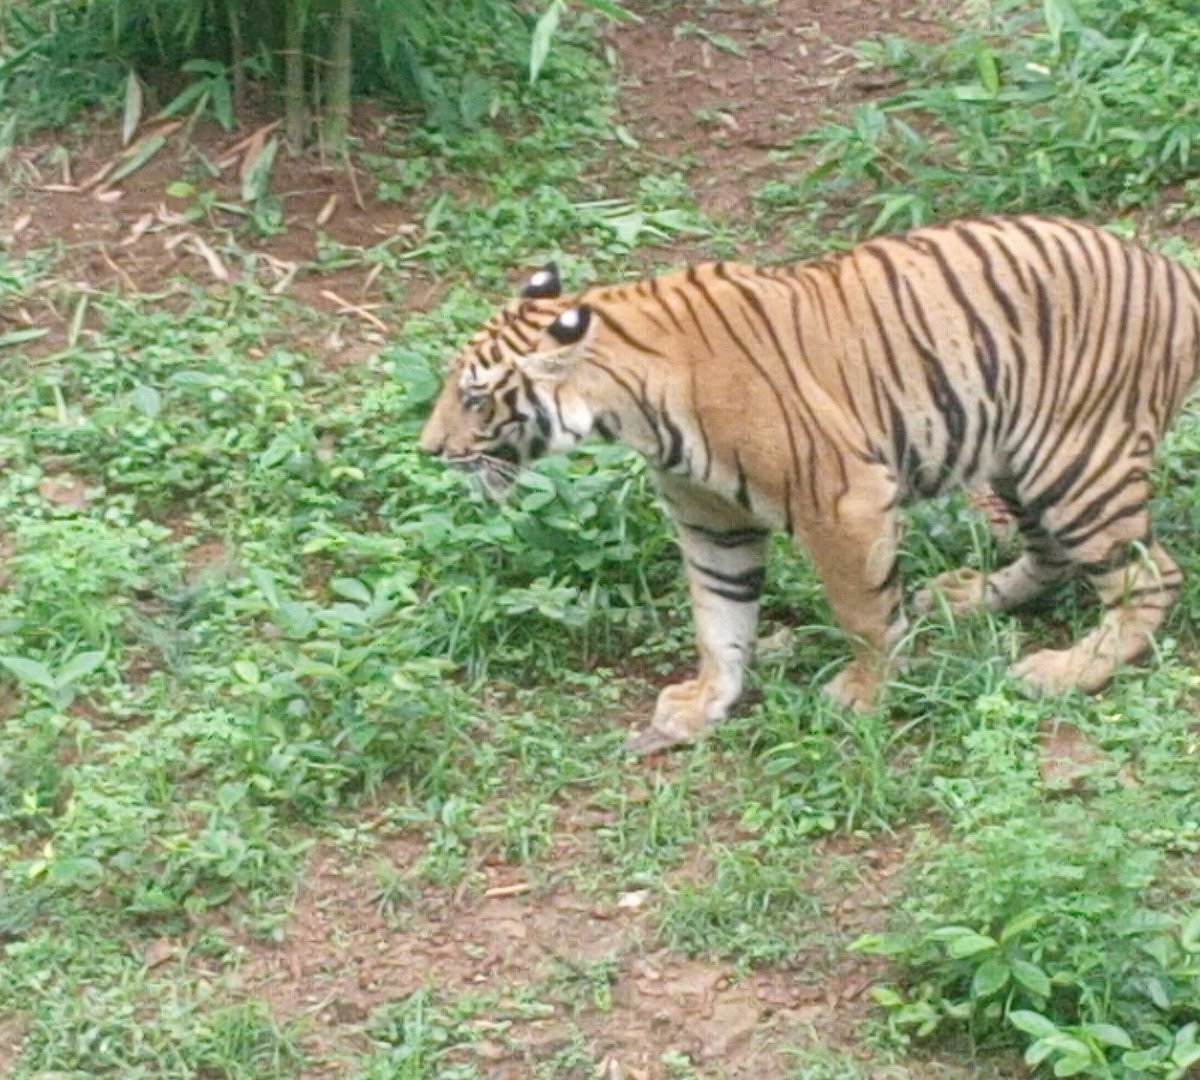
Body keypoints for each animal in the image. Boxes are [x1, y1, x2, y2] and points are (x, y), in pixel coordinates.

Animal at [420, 214, 1200, 753]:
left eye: (476, 397)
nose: (430, 449)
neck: (627, 404)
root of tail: (1170, 270)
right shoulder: (711, 520)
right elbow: (720, 618)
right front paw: (705, 702)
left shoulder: (844, 501)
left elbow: (863, 615)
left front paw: (864, 695)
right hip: (1020, 457)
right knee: (1052, 555)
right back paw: (967, 597)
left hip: (1075, 461)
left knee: (1149, 576)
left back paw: (1065, 672)